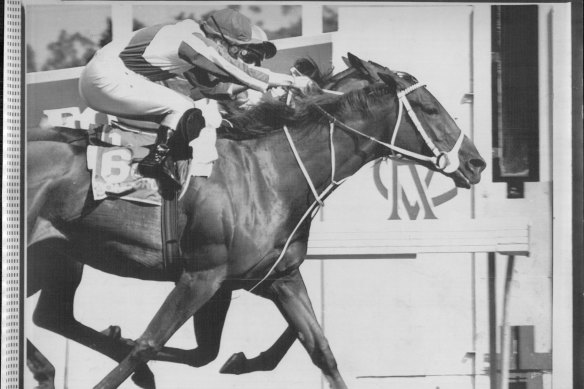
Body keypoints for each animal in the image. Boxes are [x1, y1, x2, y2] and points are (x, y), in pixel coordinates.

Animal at [26, 53, 484, 386]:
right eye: (428, 107)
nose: (476, 163)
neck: (272, 172)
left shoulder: (272, 278)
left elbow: (318, 350)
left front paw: (237, 360)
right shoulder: (201, 275)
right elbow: (149, 343)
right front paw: (135, 356)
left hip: (55, 260)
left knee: (50, 316)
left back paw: (51, 367)